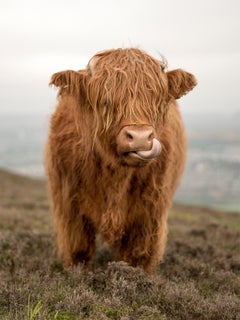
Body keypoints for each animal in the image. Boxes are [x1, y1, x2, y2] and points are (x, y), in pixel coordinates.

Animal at [45, 47, 197, 272]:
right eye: (105, 100)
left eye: (156, 99)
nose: (140, 137)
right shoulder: (70, 207)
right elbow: (79, 250)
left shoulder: (149, 215)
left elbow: (137, 258)